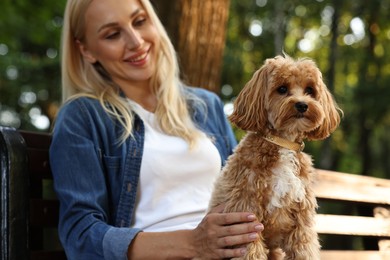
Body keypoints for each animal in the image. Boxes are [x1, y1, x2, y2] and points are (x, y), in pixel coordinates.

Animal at [210, 54, 342, 258]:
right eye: (282, 89)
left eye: (309, 90)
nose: (302, 104)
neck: (282, 143)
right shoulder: (247, 211)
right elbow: (252, 252)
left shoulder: (301, 221)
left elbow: (305, 250)